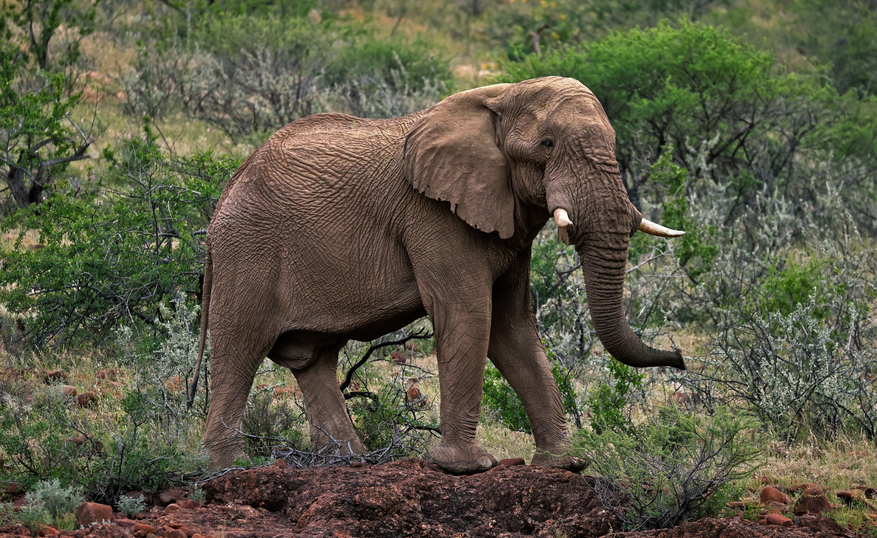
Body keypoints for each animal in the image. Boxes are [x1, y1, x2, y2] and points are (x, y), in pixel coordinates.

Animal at [198, 76, 684, 474]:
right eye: (547, 144)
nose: (678, 357)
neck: (500, 97)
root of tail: (226, 192)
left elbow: (512, 328)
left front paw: (567, 463)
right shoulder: (433, 216)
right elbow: (470, 314)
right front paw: (467, 467)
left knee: (312, 358)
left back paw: (350, 463)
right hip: (248, 251)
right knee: (240, 348)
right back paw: (232, 467)